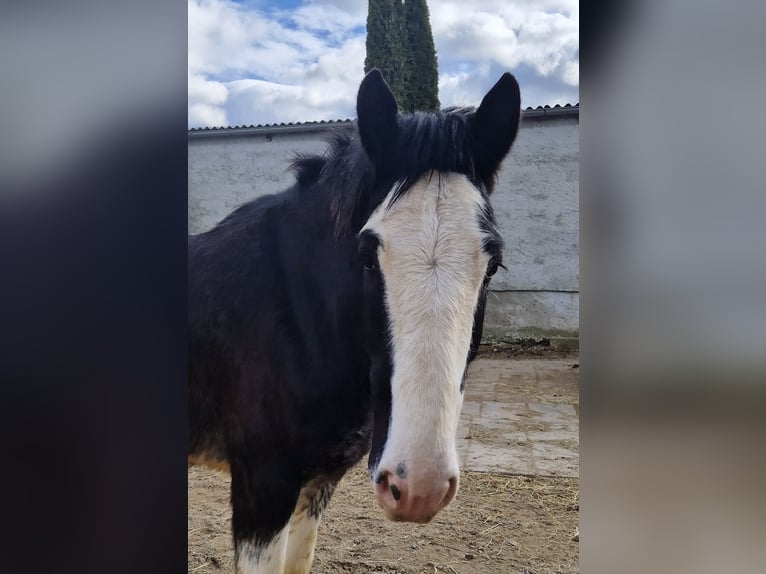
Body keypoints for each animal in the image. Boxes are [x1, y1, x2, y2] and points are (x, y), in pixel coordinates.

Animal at [188, 68, 520, 574]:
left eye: (494, 263)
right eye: (366, 254)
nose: (418, 486)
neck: (297, 318)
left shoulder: (317, 484)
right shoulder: (262, 490)